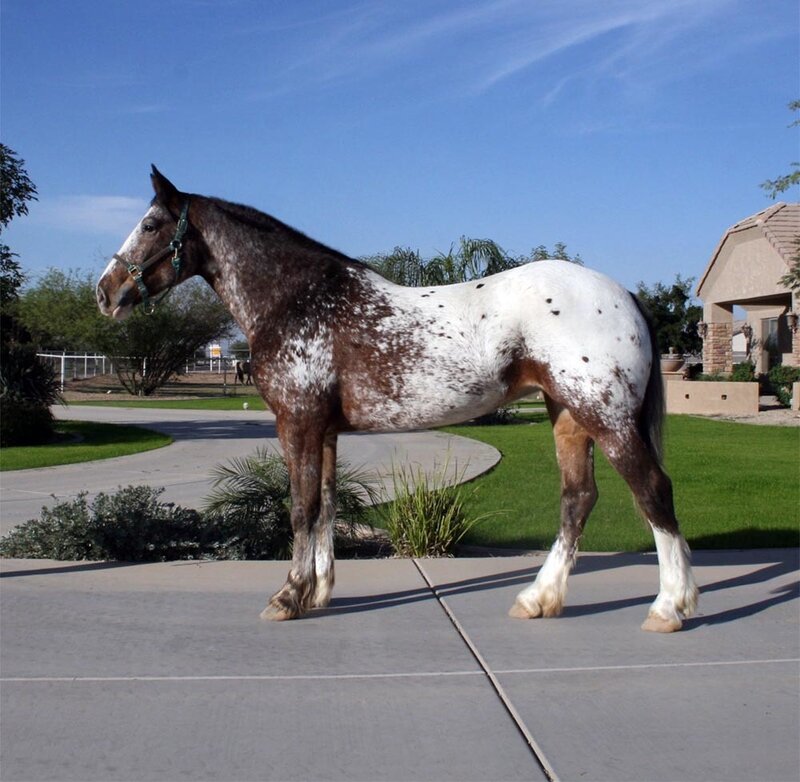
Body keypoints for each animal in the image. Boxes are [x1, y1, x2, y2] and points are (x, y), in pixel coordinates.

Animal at [96, 167, 698, 632]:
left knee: (653, 492)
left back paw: (669, 607)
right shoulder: (326, 430)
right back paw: (537, 599)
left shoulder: (298, 423)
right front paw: (319, 592)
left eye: (150, 224)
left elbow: (301, 508)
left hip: (607, 417)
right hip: (569, 415)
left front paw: (287, 597)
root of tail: (622, 294)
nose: (104, 292)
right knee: (578, 499)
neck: (297, 300)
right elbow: (327, 505)